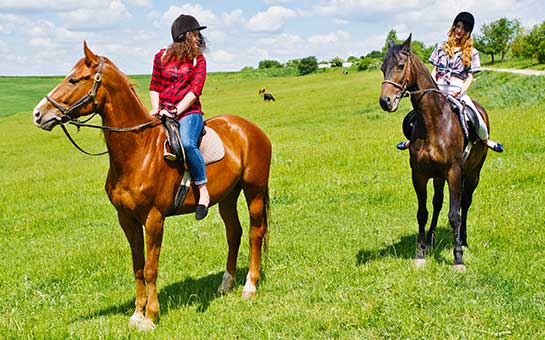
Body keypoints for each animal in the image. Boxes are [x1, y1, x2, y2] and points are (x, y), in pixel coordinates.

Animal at [31, 41, 270, 330]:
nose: (38, 113)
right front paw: (137, 313)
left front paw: (151, 315)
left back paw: (250, 286)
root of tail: (251, 129)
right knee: (233, 233)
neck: (139, 150)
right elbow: (137, 265)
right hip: (227, 196)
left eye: (74, 79)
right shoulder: (127, 219)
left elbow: (150, 268)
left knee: (255, 233)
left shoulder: (154, 219)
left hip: (254, 190)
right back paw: (225, 285)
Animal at [378, 35, 488, 270]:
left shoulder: (454, 172)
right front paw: (420, 253)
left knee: (465, 203)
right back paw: (430, 240)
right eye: (383, 68)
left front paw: (457, 258)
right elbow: (423, 213)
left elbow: (454, 214)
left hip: (473, 173)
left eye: (400, 66)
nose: (385, 101)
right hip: (438, 177)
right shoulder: (419, 174)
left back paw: (463, 240)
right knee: (437, 203)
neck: (434, 122)